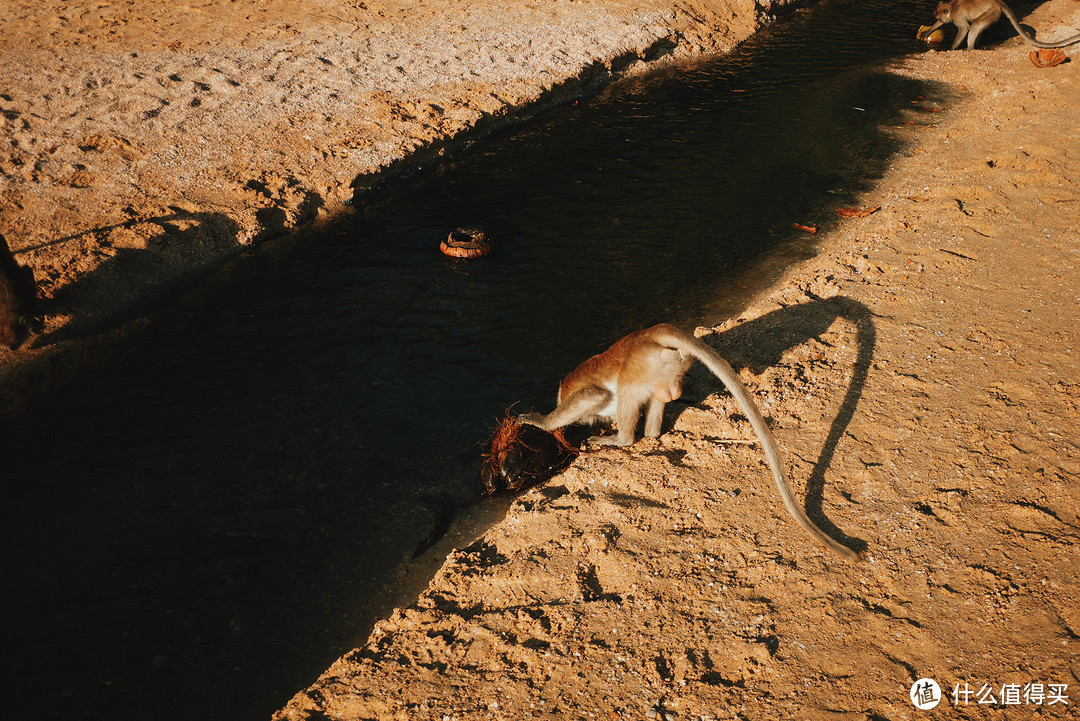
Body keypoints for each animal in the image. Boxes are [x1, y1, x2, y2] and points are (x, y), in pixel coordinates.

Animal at [520, 321, 859, 561]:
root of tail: (648, 335)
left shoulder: (586, 393)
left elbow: (594, 396)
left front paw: (539, 420)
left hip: (644, 364)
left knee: (628, 392)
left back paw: (622, 440)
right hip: (666, 367)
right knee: (660, 395)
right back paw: (653, 432)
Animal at [920, 0, 1080, 50]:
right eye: (936, 16)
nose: (937, 17)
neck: (952, 7)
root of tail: (998, 2)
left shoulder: (958, 17)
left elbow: (965, 28)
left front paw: (952, 49)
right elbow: (939, 24)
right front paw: (927, 32)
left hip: (993, 12)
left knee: (975, 25)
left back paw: (970, 48)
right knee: (978, 27)